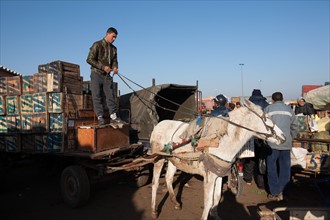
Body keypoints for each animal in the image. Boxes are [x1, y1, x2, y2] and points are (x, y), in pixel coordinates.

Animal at [150, 99, 286, 219]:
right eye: (266, 117)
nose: (284, 137)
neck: (221, 140)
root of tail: (158, 125)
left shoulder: (219, 174)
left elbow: (216, 197)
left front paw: (215, 215)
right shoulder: (209, 177)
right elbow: (208, 202)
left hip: (173, 160)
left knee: (168, 178)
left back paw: (176, 203)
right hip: (158, 158)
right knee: (155, 183)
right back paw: (154, 210)